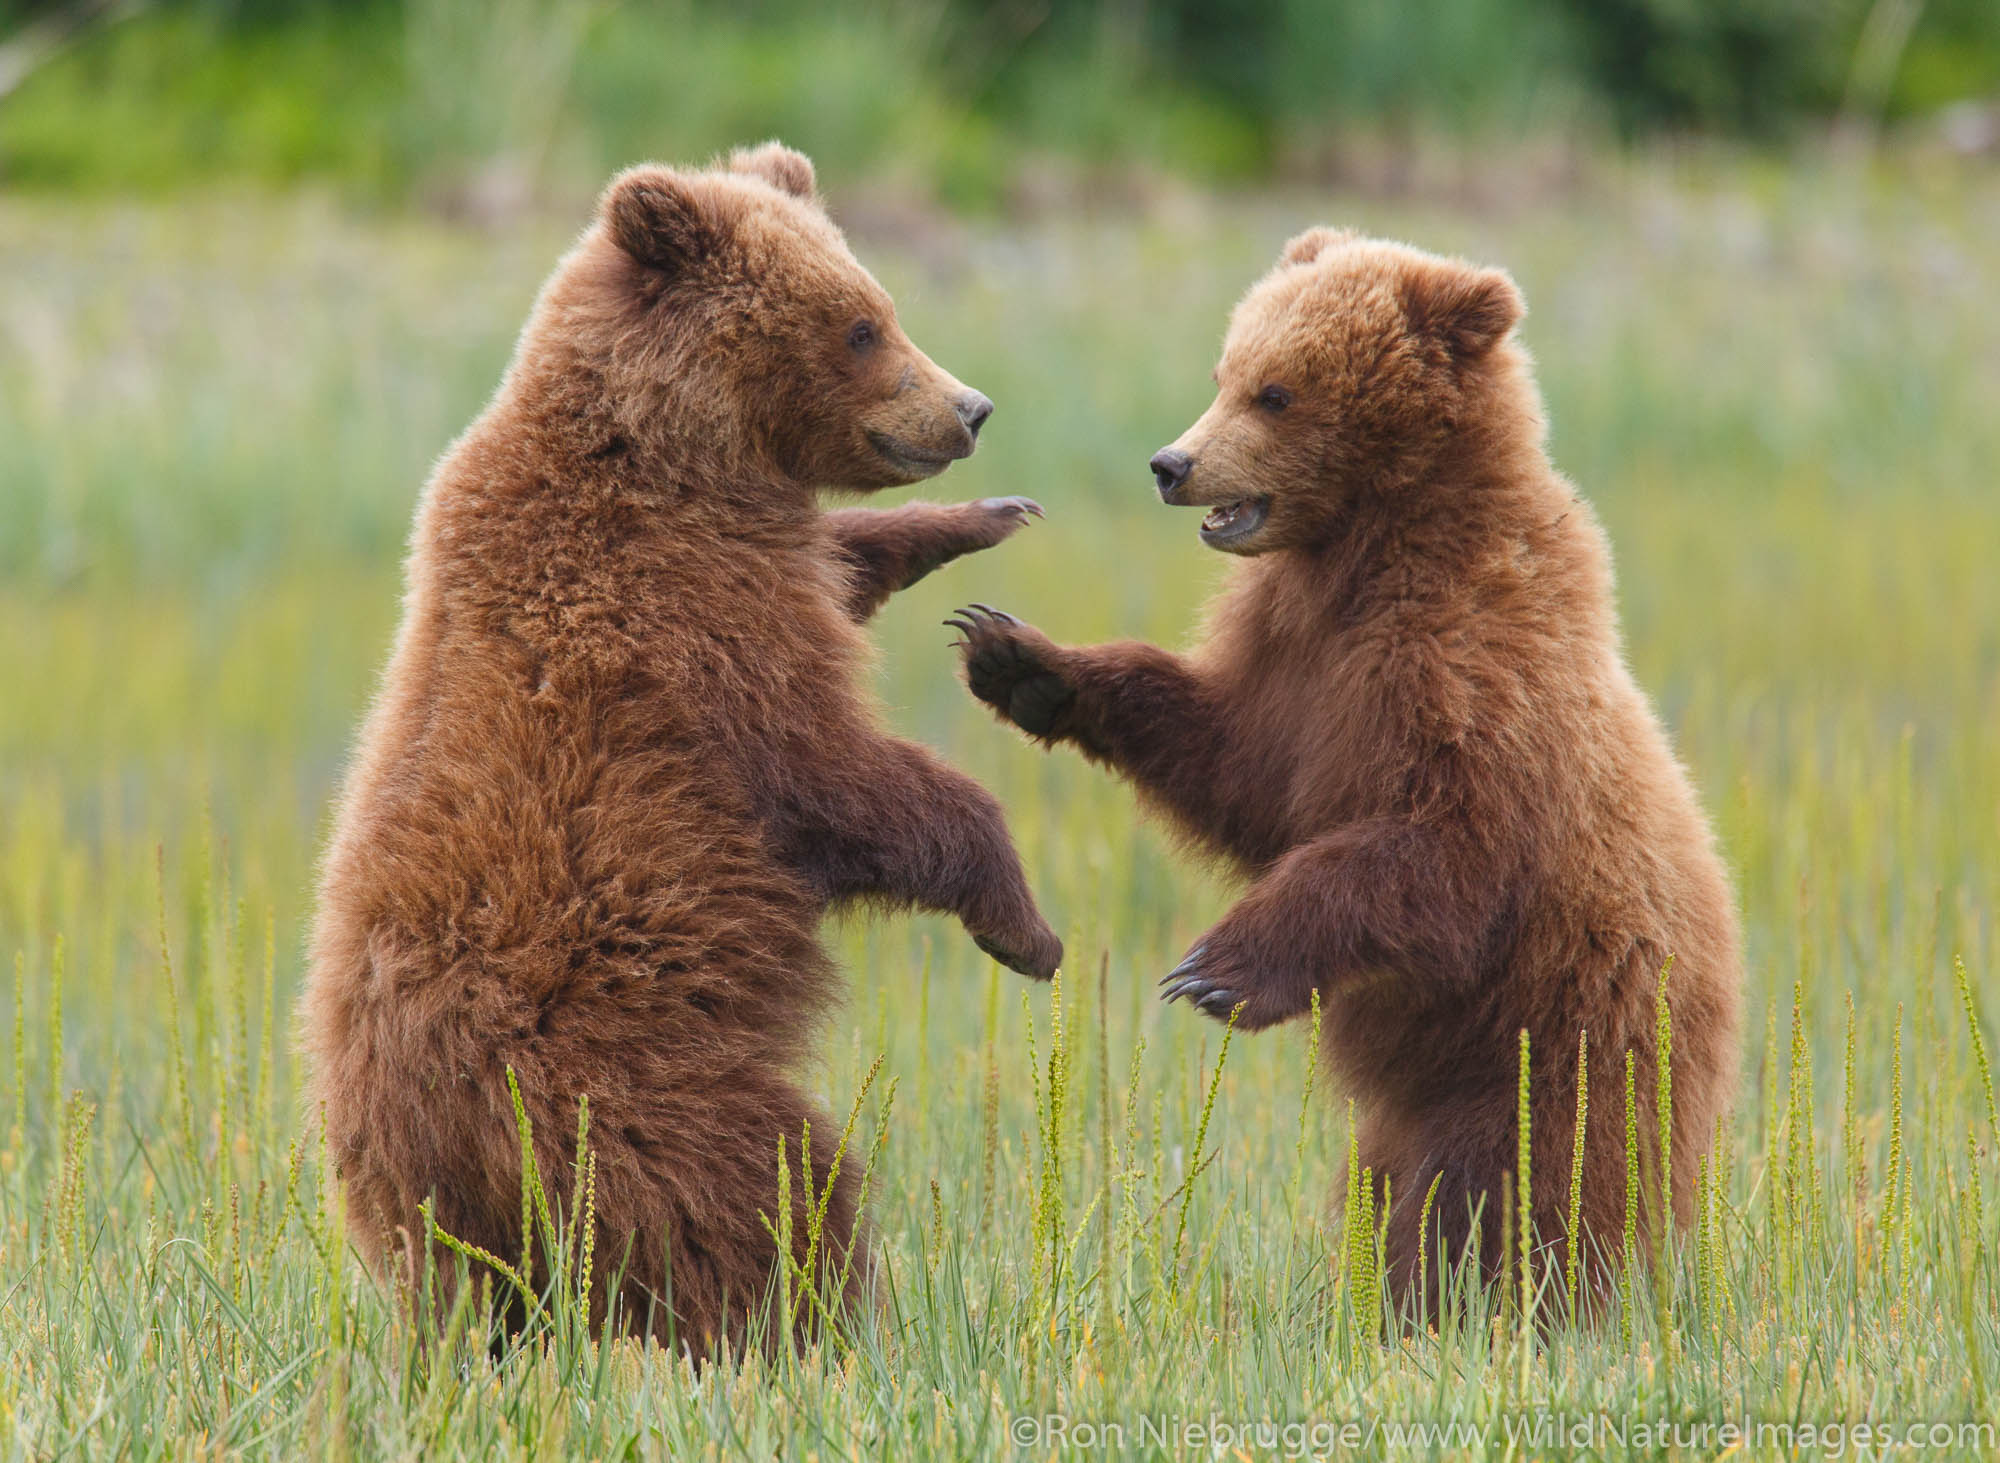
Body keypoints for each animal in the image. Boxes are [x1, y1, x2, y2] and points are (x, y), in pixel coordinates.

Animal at [300, 142, 1064, 1351]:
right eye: (861, 325)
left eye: (882, 303)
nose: (970, 409)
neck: (672, 459)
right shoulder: (686, 625)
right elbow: (842, 778)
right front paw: (1028, 930)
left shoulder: (755, 557)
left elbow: (845, 559)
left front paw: (982, 518)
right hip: (620, 1084)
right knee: (764, 1191)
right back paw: (832, 1325)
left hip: (464, 1215)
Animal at [948, 231, 1736, 1311]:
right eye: (1223, 371)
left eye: (1275, 392)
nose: (1169, 462)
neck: (1364, 553)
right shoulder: (1298, 665)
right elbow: (1236, 769)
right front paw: (1018, 658)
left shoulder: (1465, 676)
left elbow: (1438, 849)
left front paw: (1212, 970)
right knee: (1390, 1182)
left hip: (1559, 1041)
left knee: (1517, 1188)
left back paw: (1482, 1299)